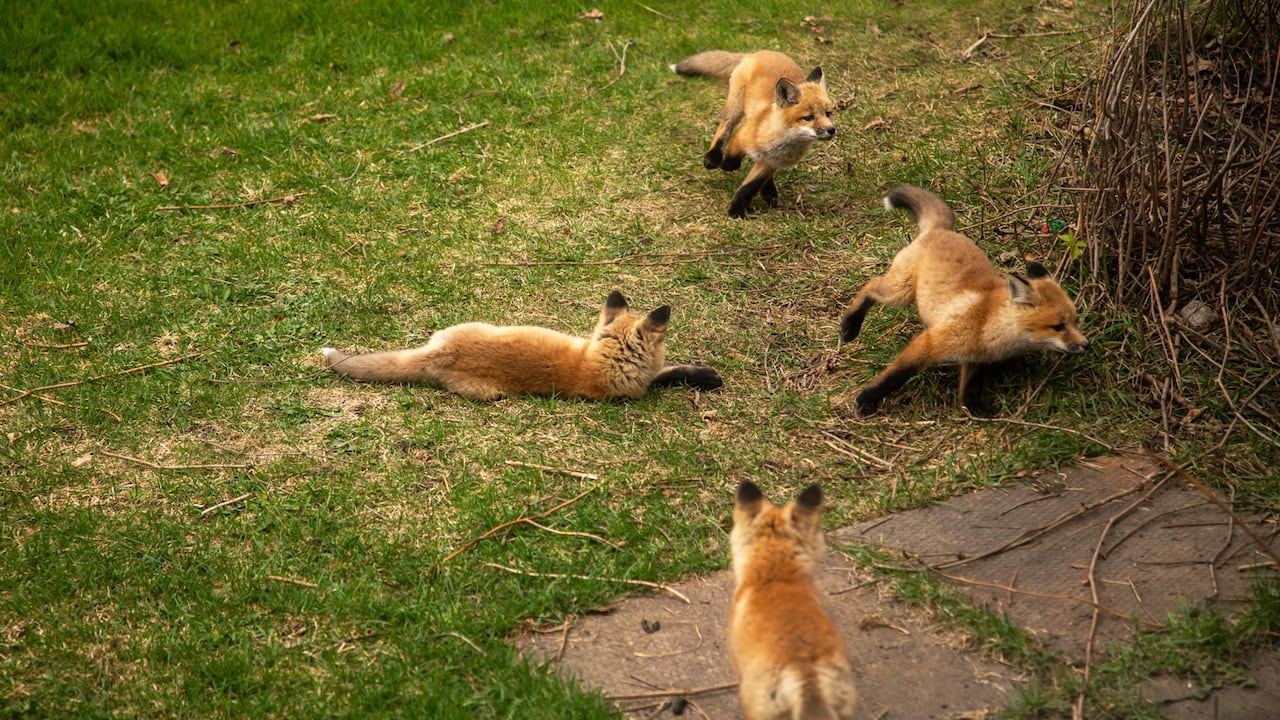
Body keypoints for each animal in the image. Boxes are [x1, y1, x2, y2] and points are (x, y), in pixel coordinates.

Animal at [320, 291, 722, 401]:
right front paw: (705, 376)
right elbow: (667, 374)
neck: (601, 359)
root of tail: (438, 354)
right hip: (488, 393)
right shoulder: (637, 391)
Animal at [672, 50, 837, 218]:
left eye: (828, 113)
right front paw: (727, 168)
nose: (831, 129)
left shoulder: (771, 163)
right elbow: (732, 161)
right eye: (809, 118)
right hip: (735, 106)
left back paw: (769, 192)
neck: (781, 144)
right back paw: (713, 157)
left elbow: (749, 187)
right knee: (724, 129)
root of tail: (759, 52)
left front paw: (737, 209)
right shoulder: (742, 135)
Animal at [839, 185, 1090, 417]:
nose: (1086, 344)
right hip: (899, 292)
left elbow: (970, 388)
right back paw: (849, 327)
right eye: (1058, 326)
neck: (988, 321)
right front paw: (866, 399)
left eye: (1075, 321)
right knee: (871, 286)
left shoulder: (976, 357)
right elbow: (895, 376)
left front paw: (976, 409)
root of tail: (941, 230)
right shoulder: (930, 343)